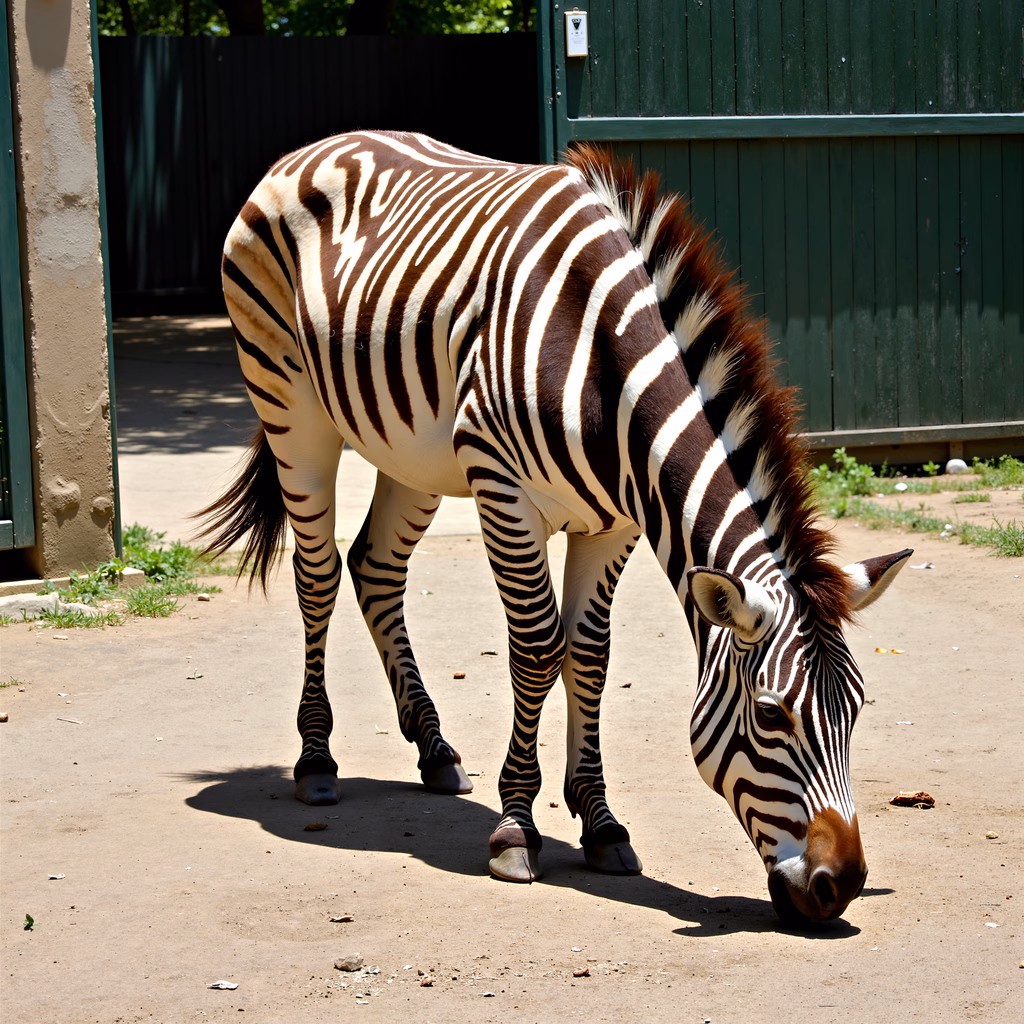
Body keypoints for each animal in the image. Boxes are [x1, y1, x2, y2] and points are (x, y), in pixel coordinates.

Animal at [198, 130, 912, 924]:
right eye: (771, 716)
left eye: (855, 710)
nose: (841, 885)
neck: (608, 378)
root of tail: (319, 144)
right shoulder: (504, 492)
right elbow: (540, 650)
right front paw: (517, 828)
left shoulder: (614, 523)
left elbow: (590, 655)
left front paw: (600, 825)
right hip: (292, 405)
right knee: (318, 574)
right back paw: (316, 761)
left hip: (412, 451)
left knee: (375, 567)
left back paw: (435, 750)